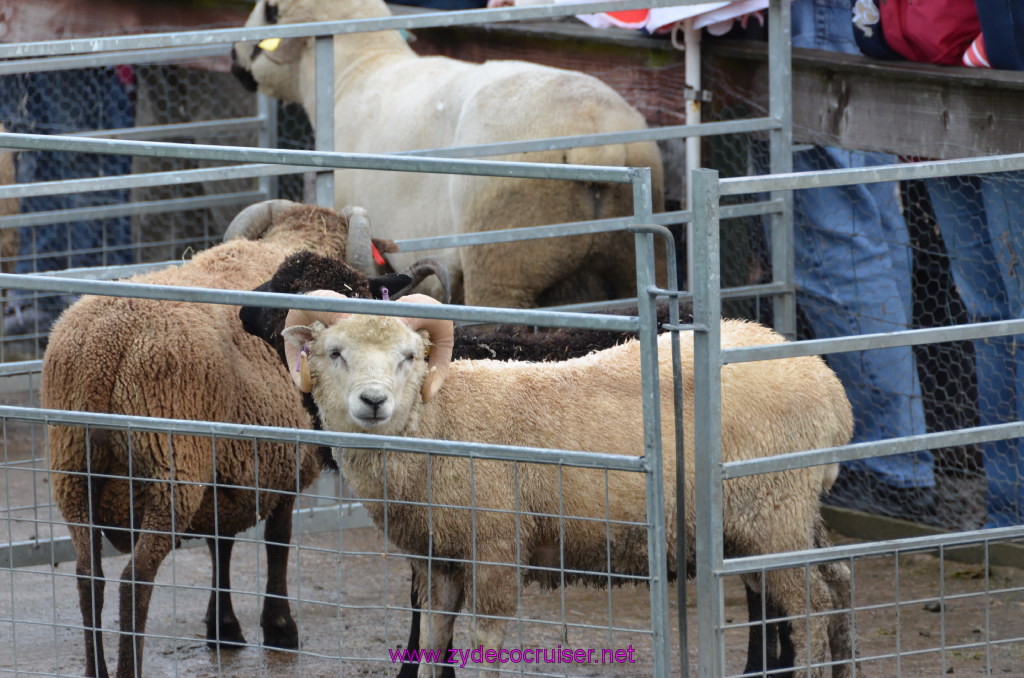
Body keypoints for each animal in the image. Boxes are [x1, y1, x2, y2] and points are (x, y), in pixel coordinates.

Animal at [229, 0, 667, 307]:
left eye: (269, 11)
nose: (233, 56)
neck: (353, 72)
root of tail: (598, 141)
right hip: (628, 260)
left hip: (504, 264)